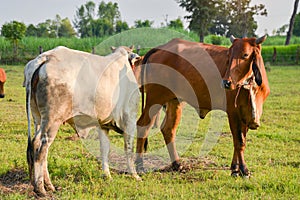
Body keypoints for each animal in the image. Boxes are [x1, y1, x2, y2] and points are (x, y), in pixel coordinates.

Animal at [24, 45, 141, 197]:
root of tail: (45, 57)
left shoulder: (103, 125)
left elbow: (105, 149)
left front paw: (107, 175)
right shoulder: (130, 119)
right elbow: (129, 148)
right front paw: (135, 175)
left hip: (38, 119)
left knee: (37, 146)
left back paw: (47, 185)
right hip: (52, 121)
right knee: (41, 147)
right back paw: (40, 188)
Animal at [135, 36, 270, 177]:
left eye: (245, 55)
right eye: (229, 55)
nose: (226, 83)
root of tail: (160, 48)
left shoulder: (245, 116)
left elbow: (240, 141)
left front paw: (235, 168)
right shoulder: (233, 112)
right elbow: (239, 141)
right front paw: (243, 169)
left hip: (174, 101)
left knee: (168, 129)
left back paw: (177, 164)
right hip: (155, 99)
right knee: (143, 125)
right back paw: (139, 165)